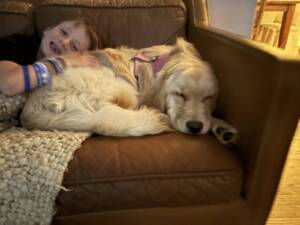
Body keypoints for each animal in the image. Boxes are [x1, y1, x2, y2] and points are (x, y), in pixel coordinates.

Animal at [19, 38, 238, 145]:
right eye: (180, 95)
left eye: (209, 98)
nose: (194, 126)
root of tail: (29, 110)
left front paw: (221, 127)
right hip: (119, 87)